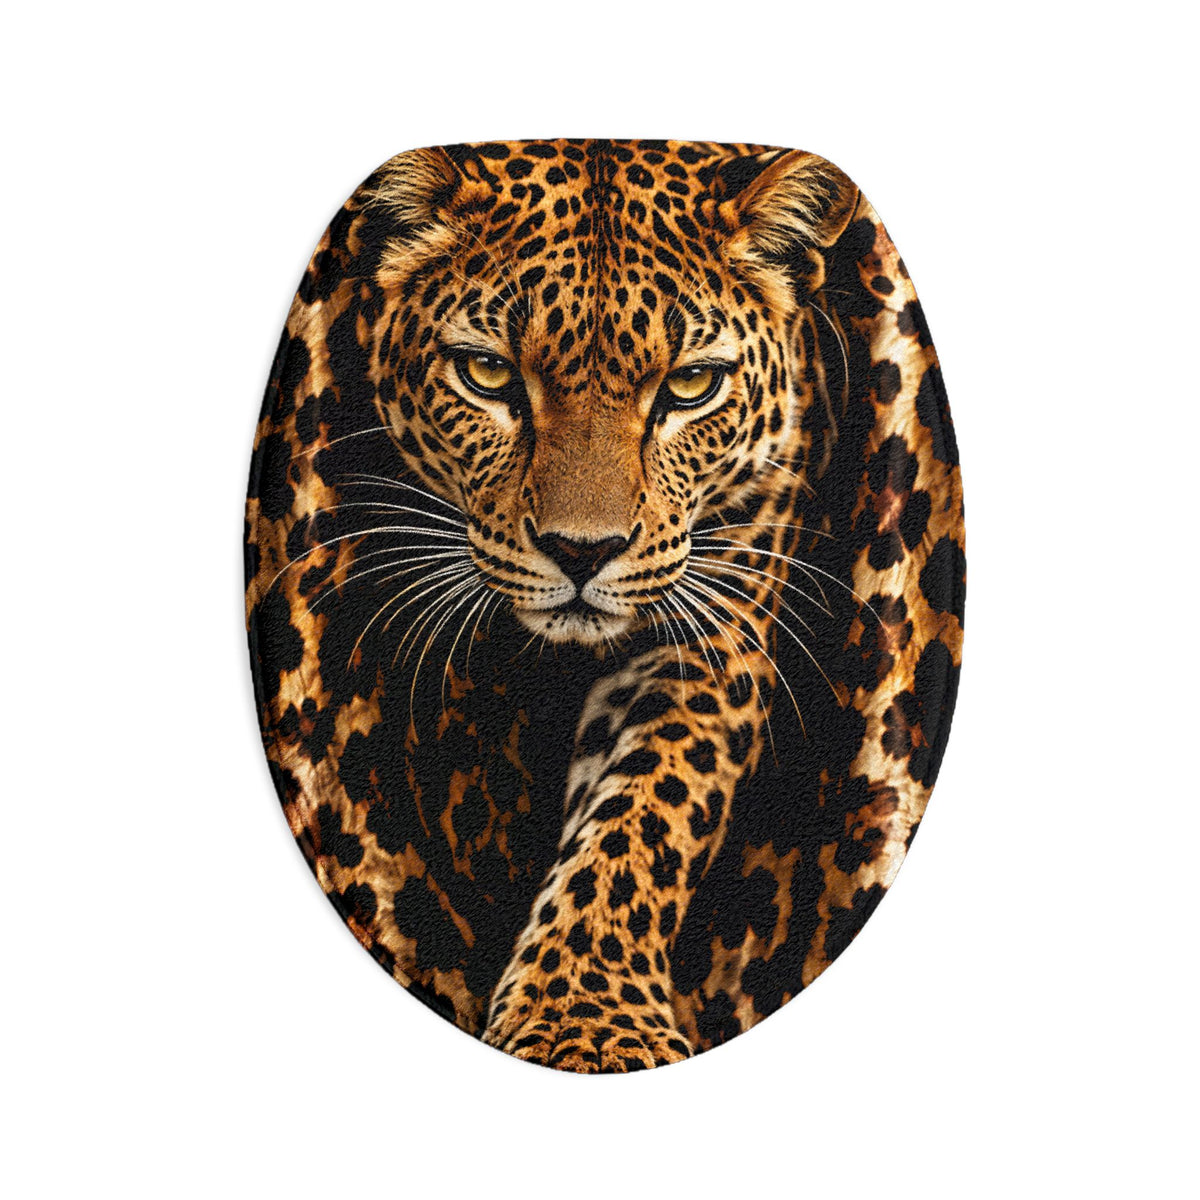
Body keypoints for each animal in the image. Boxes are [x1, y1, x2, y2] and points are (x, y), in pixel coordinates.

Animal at [245, 139, 965, 1073]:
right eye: (487, 373)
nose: (582, 552)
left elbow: (647, 809)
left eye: (691, 386)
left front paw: (582, 1017)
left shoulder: (714, 624)